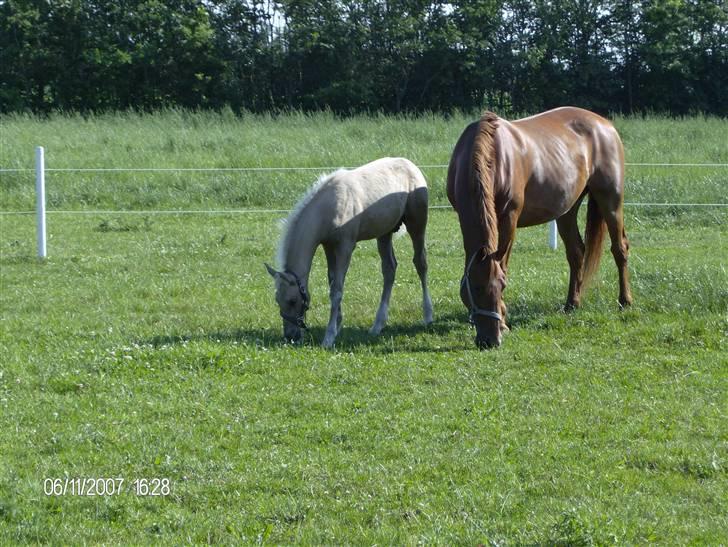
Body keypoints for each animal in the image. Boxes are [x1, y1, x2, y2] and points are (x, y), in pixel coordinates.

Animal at [266, 156, 432, 348]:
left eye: (292, 300)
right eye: (277, 299)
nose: (290, 336)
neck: (328, 207)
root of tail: (410, 165)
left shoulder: (345, 246)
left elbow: (337, 290)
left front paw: (329, 336)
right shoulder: (329, 246)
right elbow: (332, 281)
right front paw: (337, 323)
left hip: (416, 223)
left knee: (420, 263)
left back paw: (428, 316)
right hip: (384, 233)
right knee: (389, 269)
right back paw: (377, 325)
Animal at [444, 105, 632, 348]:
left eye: (502, 286)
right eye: (475, 289)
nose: (491, 340)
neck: (490, 153)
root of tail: (605, 125)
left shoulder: (509, 217)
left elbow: (503, 264)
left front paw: (504, 323)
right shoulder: (462, 215)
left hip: (610, 200)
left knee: (619, 249)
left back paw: (625, 301)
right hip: (567, 210)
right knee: (576, 253)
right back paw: (572, 303)